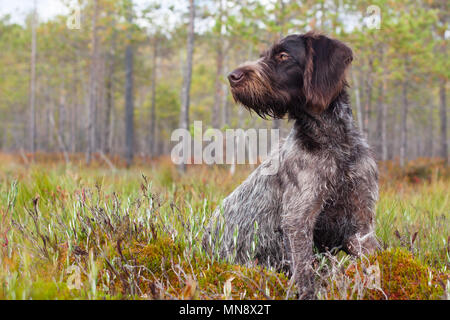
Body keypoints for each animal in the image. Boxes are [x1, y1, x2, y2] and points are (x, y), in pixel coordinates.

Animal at [204, 31, 380, 298]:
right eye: (264, 55)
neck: (333, 143)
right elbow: (305, 273)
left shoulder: (361, 225)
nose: (232, 76)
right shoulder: (298, 220)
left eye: (283, 56)